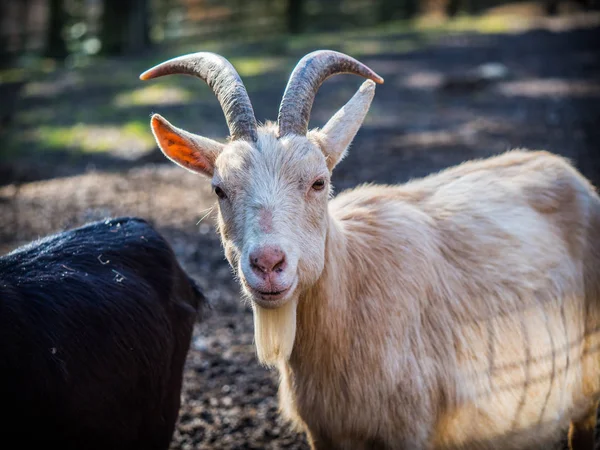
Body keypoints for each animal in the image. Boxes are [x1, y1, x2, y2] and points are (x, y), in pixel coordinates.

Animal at [141, 50, 600, 450]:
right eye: (219, 189)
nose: (268, 264)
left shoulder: (409, 431)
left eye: (319, 182)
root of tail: (571, 176)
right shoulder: (323, 433)